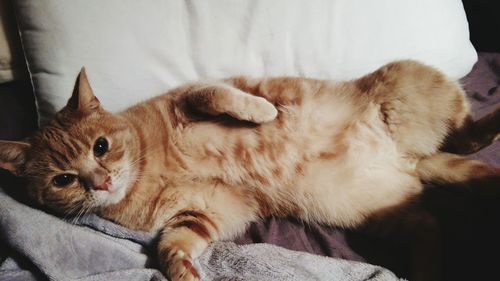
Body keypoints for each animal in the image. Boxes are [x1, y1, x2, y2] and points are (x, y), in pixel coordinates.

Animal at [0, 60, 498, 278]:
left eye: (101, 147)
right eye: (64, 179)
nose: (100, 182)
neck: (146, 170)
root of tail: (409, 159)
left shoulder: (191, 97)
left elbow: (216, 93)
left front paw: (263, 111)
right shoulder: (206, 210)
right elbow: (172, 245)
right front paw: (182, 269)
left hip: (410, 78)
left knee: (464, 133)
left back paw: (487, 126)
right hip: (381, 214)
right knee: (430, 224)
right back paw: (427, 271)